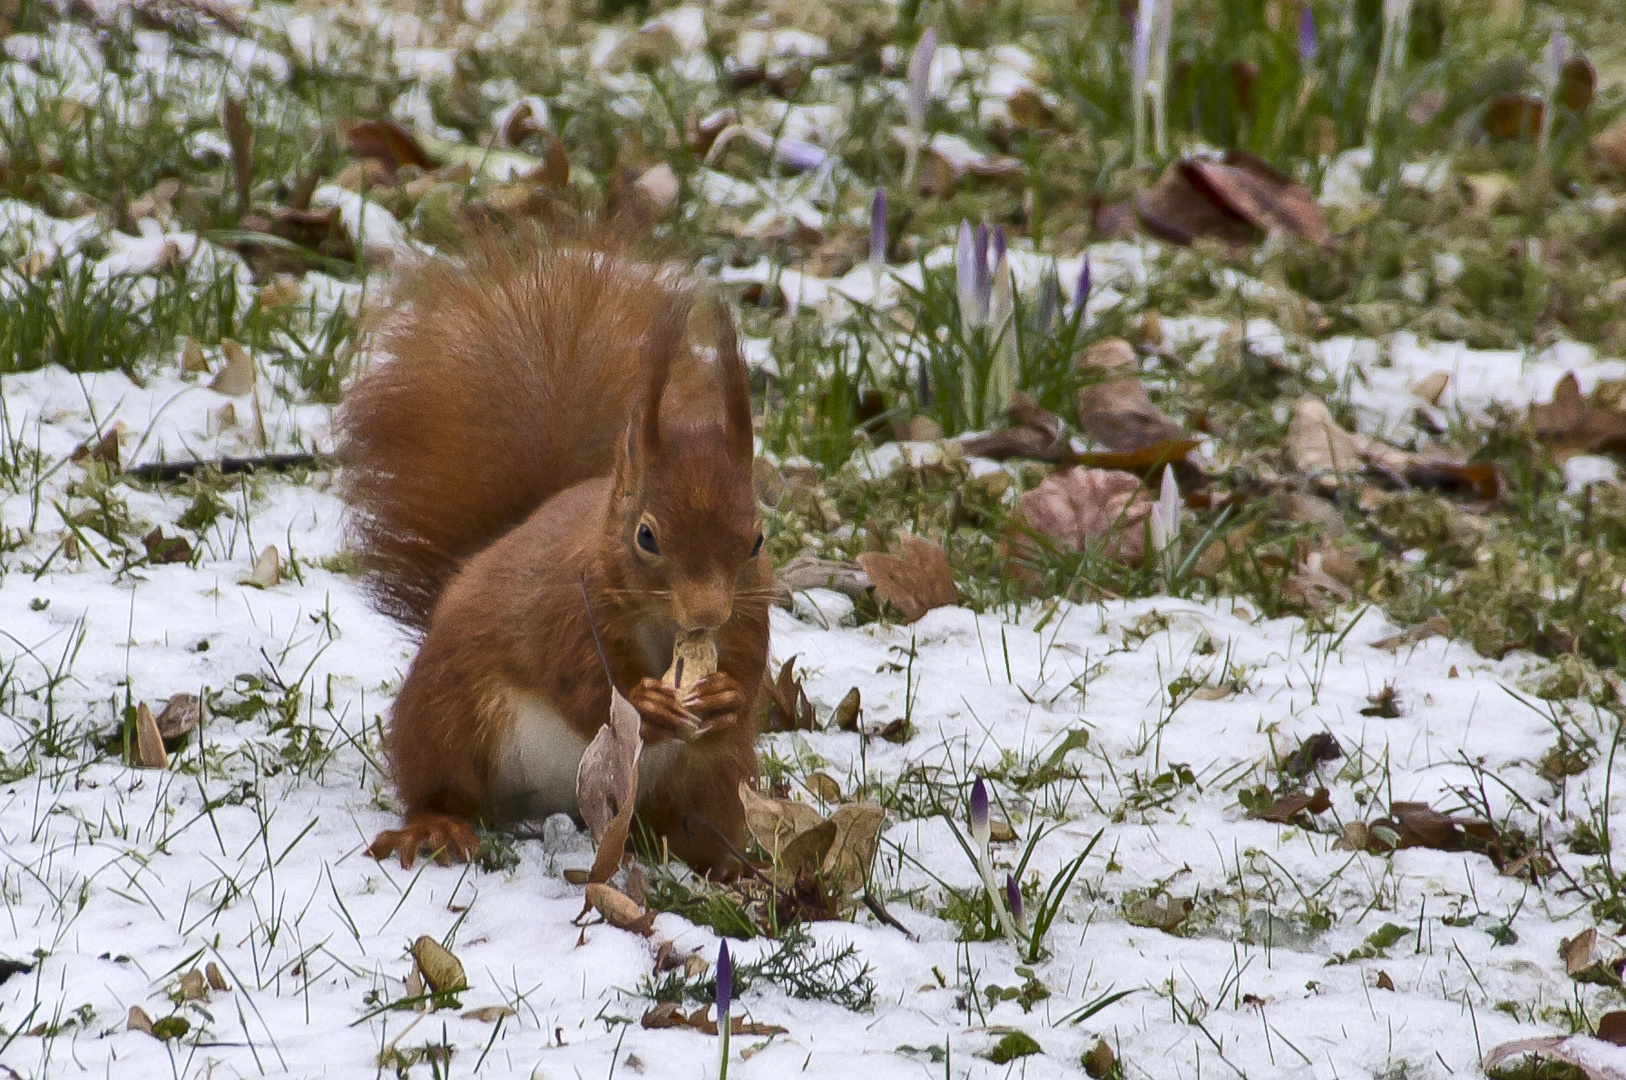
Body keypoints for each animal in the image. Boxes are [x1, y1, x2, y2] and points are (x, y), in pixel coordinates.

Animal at [339, 239, 770, 878]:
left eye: (758, 541)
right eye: (646, 537)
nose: (707, 614)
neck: (662, 626)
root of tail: (557, 803)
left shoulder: (751, 614)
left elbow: (751, 669)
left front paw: (725, 696)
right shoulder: (563, 604)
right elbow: (578, 679)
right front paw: (644, 704)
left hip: (711, 779)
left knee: (698, 821)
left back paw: (731, 868)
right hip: (448, 714)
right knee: (440, 786)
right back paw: (436, 826)